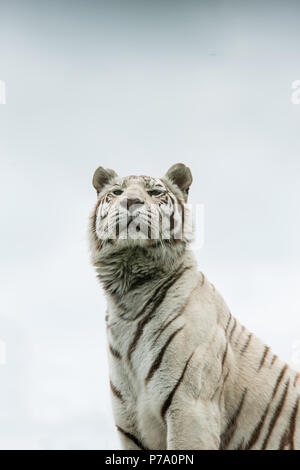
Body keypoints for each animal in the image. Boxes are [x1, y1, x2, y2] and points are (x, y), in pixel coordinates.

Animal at [88, 163, 300, 450]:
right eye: (117, 192)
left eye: (155, 192)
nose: (130, 201)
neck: (129, 292)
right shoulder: (131, 426)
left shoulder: (191, 409)